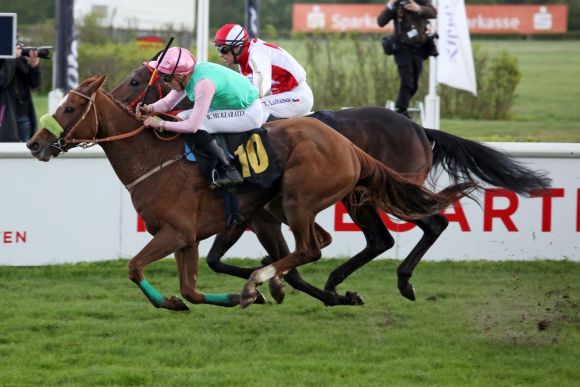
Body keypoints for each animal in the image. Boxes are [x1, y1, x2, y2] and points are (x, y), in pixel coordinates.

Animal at [26, 75, 476, 312]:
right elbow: (191, 287)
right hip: (301, 205)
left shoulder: (177, 232)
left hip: (303, 199)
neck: (153, 159)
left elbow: (135, 267)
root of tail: (349, 146)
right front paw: (221, 297)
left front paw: (248, 290)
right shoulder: (188, 238)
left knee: (317, 247)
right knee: (322, 246)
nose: (34, 143)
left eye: (69, 109)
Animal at [110, 63, 552, 306]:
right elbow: (227, 260)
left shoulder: (257, 215)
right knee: (389, 237)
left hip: (370, 195)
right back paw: (346, 282)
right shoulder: (255, 215)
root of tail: (416, 126)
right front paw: (274, 284)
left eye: (135, 80)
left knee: (421, 227)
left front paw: (271, 284)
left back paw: (391, 280)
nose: (115, 102)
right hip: (370, 194)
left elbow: (256, 259)